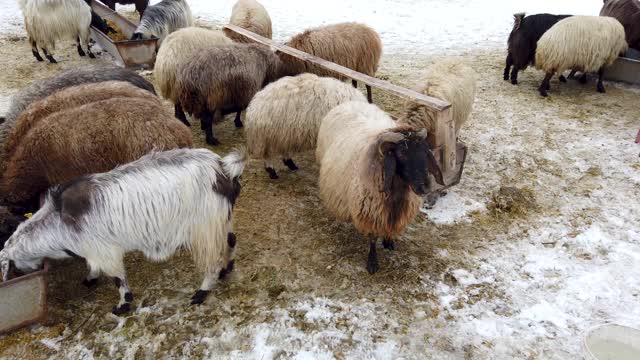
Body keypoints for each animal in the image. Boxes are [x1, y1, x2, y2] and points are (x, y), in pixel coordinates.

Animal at [0, 148, 245, 314]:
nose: (27, 270)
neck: (59, 220)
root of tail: (223, 168)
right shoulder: (93, 250)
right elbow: (93, 267)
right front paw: (90, 278)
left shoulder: (106, 252)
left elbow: (118, 279)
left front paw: (122, 306)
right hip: (221, 220)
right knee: (231, 240)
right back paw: (228, 268)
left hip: (204, 227)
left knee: (212, 260)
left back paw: (202, 292)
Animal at [316, 101, 444, 272]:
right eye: (401, 154)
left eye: (425, 151)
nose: (425, 187)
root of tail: (350, 102)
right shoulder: (370, 211)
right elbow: (372, 237)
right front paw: (372, 262)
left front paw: (389, 241)